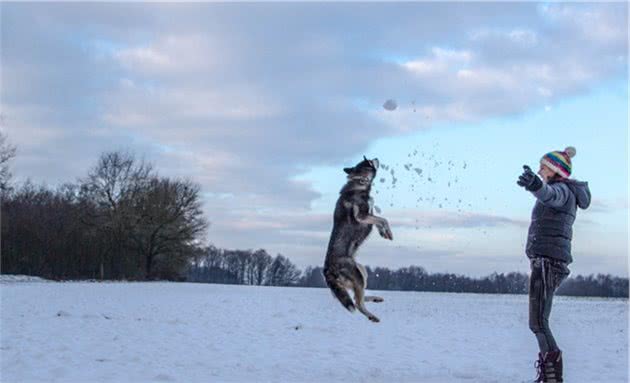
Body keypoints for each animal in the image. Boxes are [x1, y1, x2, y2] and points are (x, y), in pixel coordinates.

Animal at [326, 158, 396, 322]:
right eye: (369, 162)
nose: (376, 158)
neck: (359, 182)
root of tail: (327, 270)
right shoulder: (362, 216)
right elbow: (383, 219)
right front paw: (388, 232)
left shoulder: (369, 215)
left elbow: (379, 220)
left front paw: (384, 233)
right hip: (357, 275)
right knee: (357, 303)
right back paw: (371, 316)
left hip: (362, 272)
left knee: (358, 297)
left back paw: (375, 299)